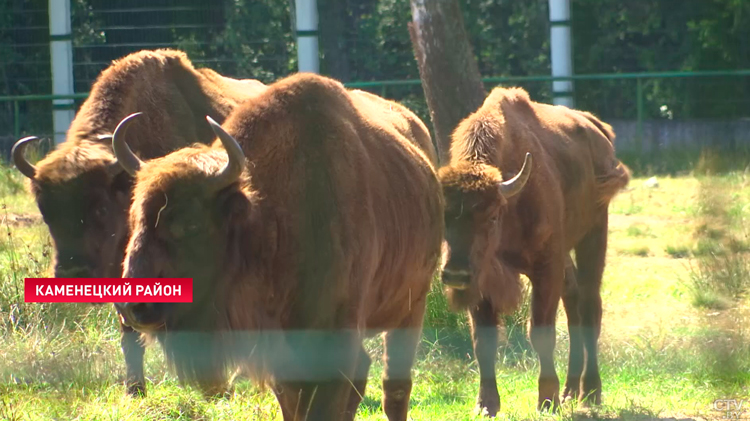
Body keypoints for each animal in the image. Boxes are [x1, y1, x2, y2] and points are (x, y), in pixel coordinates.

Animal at [108, 73, 444, 420]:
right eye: (135, 219)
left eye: (191, 224)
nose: (132, 307)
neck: (267, 218)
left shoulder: (335, 339)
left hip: (412, 308)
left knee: (395, 387)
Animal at [438, 85, 632, 414]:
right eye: (442, 217)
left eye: (492, 216)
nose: (455, 274)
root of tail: (597, 128)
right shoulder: (483, 279)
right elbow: (483, 338)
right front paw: (486, 404)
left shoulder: (545, 267)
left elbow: (541, 331)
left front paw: (547, 401)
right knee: (573, 302)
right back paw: (570, 391)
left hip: (593, 233)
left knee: (590, 305)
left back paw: (590, 392)